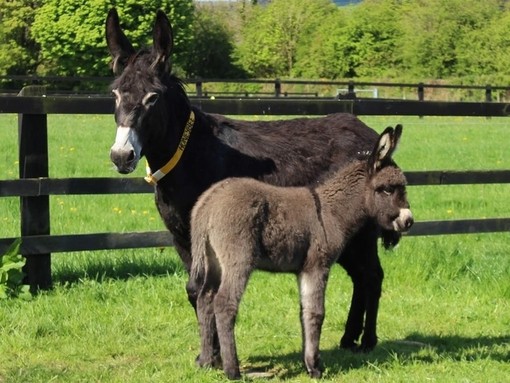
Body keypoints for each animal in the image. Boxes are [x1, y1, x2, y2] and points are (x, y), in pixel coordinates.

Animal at [189, 124, 412, 380]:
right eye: (386, 190)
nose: (409, 221)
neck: (330, 212)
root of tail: (207, 203)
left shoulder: (303, 270)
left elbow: (304, 312)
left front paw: (308, 362)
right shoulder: (317, 266)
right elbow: (316, 313)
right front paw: (315, 367)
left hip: (213, 260)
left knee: (205, 298)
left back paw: (206, 362)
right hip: (238, 259)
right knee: (224, 303)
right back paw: (232, 370)